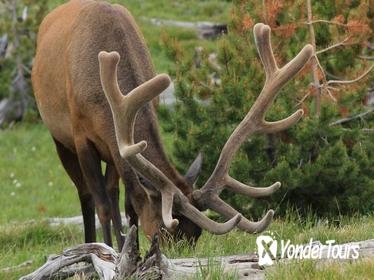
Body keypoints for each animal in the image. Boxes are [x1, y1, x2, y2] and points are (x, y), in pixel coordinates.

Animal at [32, 0, 314, 249]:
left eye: (196, 234)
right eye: (163, 228)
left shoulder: (116, 143)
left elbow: (129, 205)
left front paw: (130, 250)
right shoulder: (82, 136)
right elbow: (100, 204)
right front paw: (108, 252)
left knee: (113, 192)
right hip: (59, 138)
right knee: (87, 195)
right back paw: (91, 243)